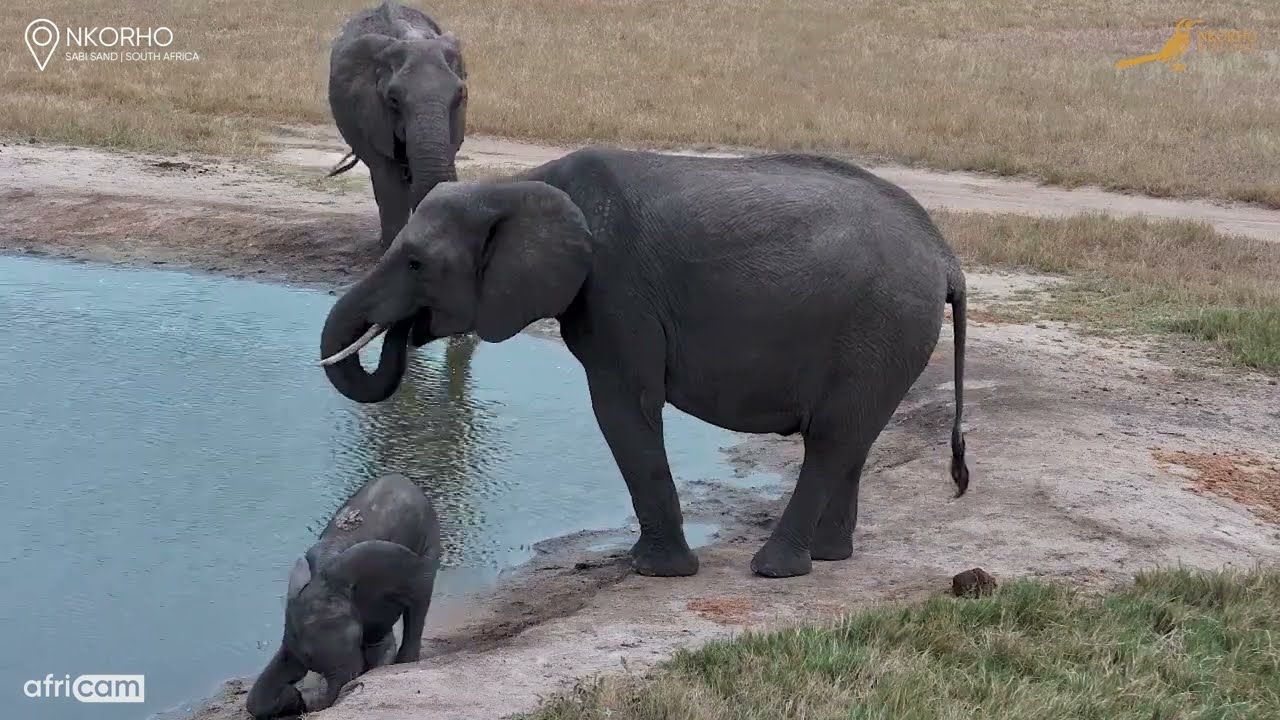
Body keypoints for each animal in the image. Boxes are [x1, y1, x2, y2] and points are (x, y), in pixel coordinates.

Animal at [246, 473, 441, 719]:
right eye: (308, 656)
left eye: (355, 635)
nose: (306, 704)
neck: (323, 576)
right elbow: (257, 700)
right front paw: (293, 699)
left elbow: (419, 591)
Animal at [316, 147, 970, 580]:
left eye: (417, 264)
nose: (404, 331)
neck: (518, 185)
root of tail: (946, 257)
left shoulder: (617, 291)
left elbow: (622, 406)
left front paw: (655, 572)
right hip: (888, 338)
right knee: (852, 439)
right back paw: (831, 558)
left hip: (882, 323)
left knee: (831, 440)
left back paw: (774, 569)